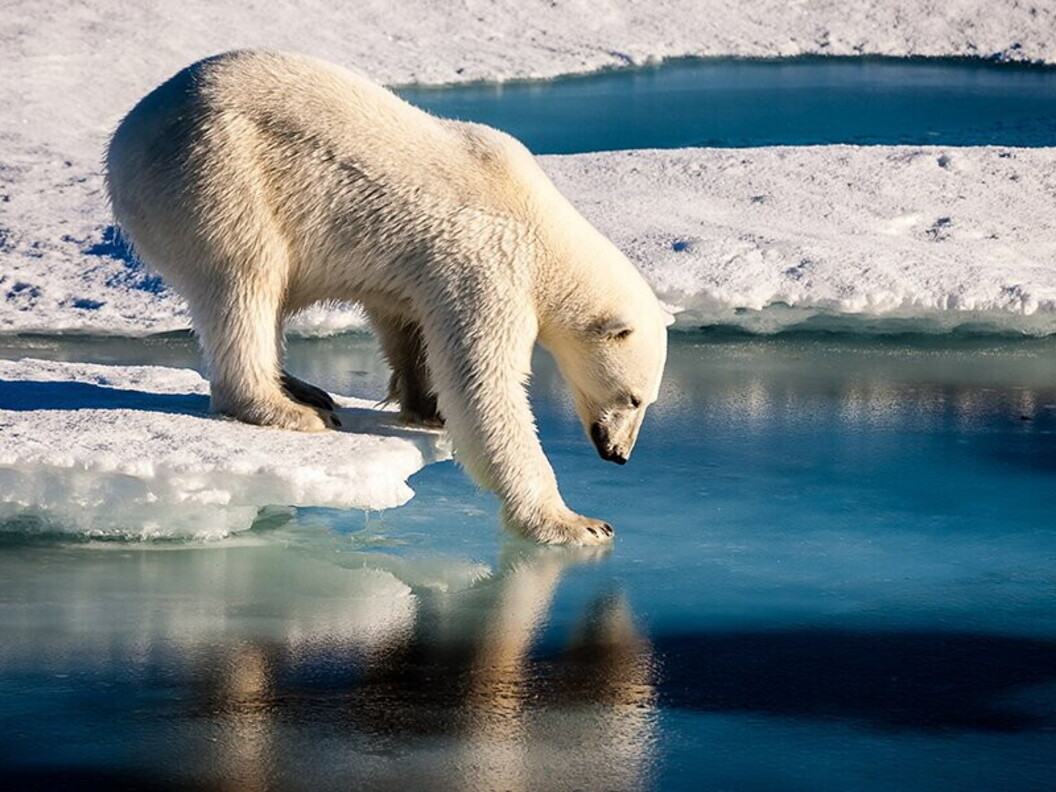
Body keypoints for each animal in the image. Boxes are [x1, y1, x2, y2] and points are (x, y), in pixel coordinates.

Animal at [106, 50, 672, 545]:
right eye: (633, 398)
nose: (619, 454)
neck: (541, 225)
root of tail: (127, 135)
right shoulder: (489, 264)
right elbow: (485, 385)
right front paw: (577, 523)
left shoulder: (423, 270)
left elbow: (407, 324)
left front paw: (426, 406)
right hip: (218, 173)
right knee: (246, 280)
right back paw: (288, 409)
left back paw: (304, 388)